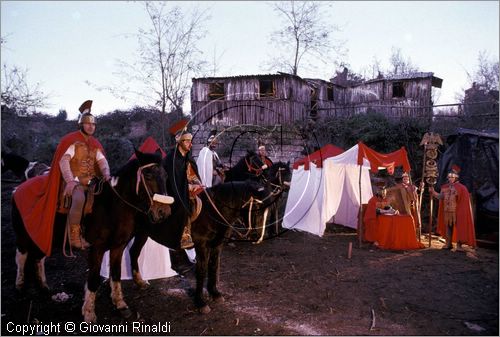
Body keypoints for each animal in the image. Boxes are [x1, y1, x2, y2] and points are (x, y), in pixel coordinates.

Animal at [11, 149, 173, 320]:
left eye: (165, 176)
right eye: (148, 175)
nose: (163, 212)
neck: (111, 207)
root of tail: (18, 189)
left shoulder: (118, 247)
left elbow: (116, 273)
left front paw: (120, 304)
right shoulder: (97, 249)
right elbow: (94, 279)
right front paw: (89, 313)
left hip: (45, 236)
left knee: (38, 257)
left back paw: (43, 286)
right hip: (23, 236)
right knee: (21, 256)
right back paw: (20, 286)